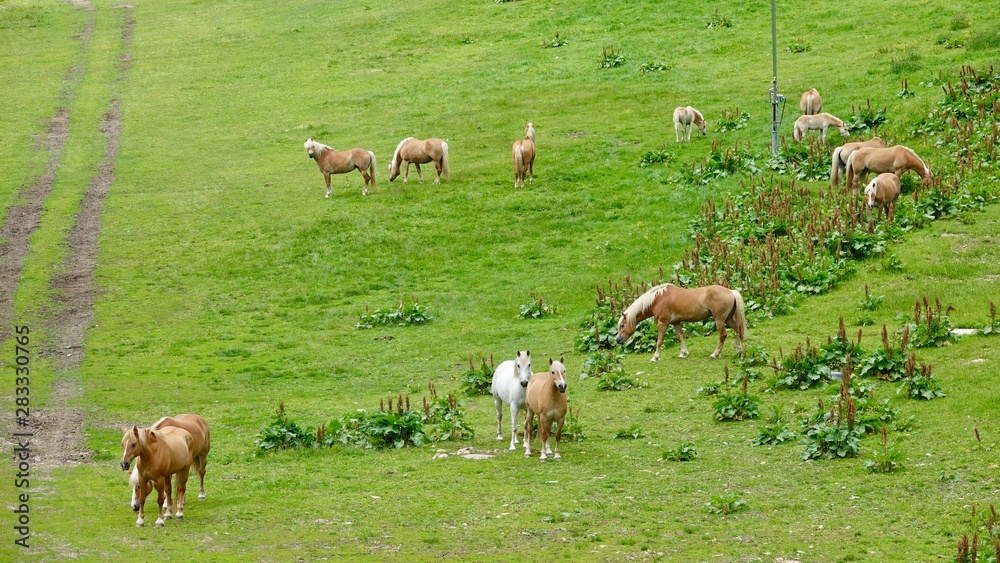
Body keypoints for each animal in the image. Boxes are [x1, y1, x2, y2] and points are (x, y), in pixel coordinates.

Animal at [612, 284, 748, 364]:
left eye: (622, 326)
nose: (617, 340)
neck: (658, 299)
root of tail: (731, 291)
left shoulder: (662, 323)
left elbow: (659, 340)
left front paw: (655, 357)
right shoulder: (675, 322)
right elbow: (680, 337)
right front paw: (683, 353)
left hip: (719, 320)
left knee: (723, 335)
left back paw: (715, 354)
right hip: (728, 319)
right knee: (738, 329)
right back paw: (739, 350)